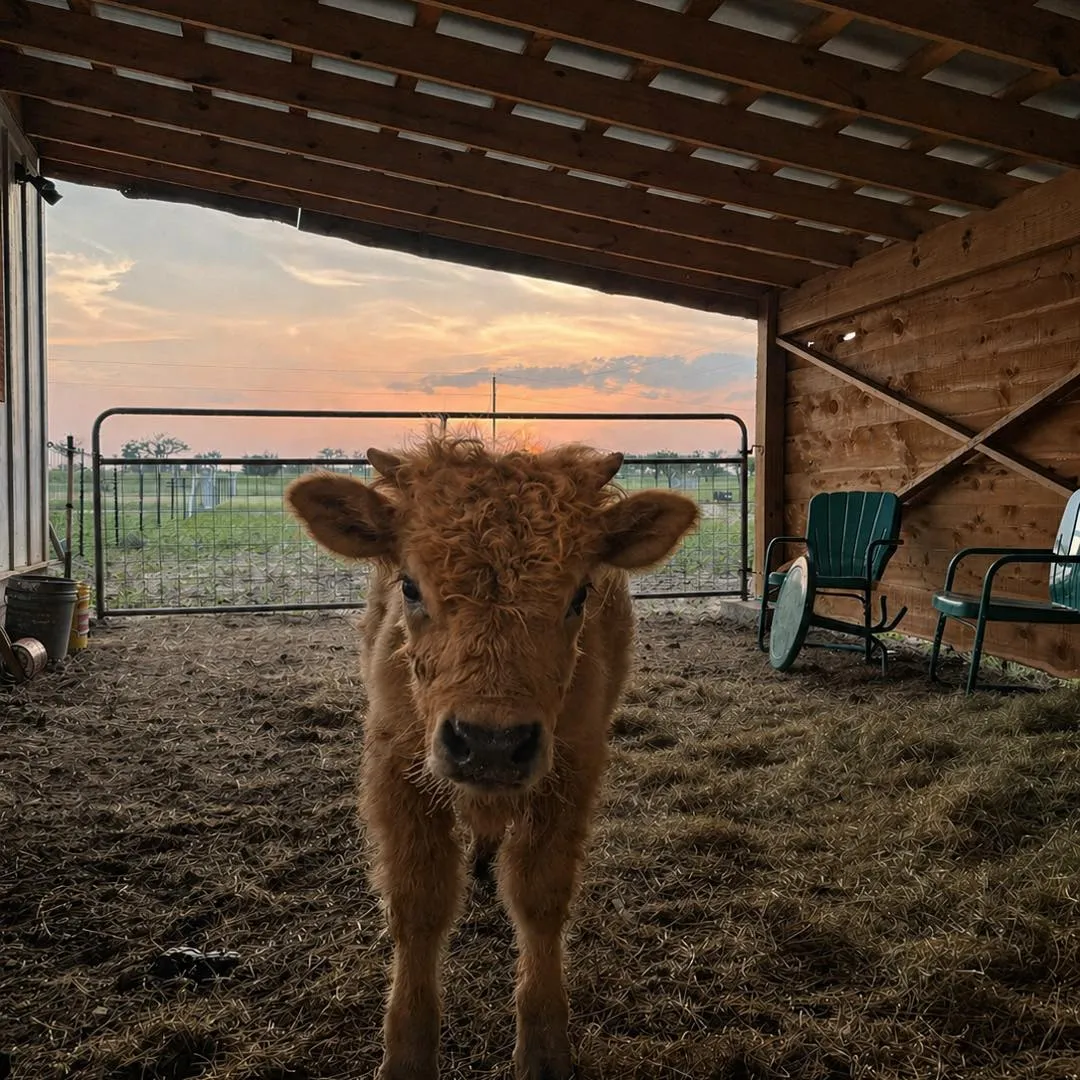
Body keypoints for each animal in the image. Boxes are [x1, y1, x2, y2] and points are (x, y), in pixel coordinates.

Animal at [287, 435, 698, 1080]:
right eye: (410, 587)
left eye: (579, 594)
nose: (491, 743)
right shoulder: (398, 770)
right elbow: (419, 904)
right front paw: (407, 1056)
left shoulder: (570, 771)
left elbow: (539, 896)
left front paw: (545, 1048)